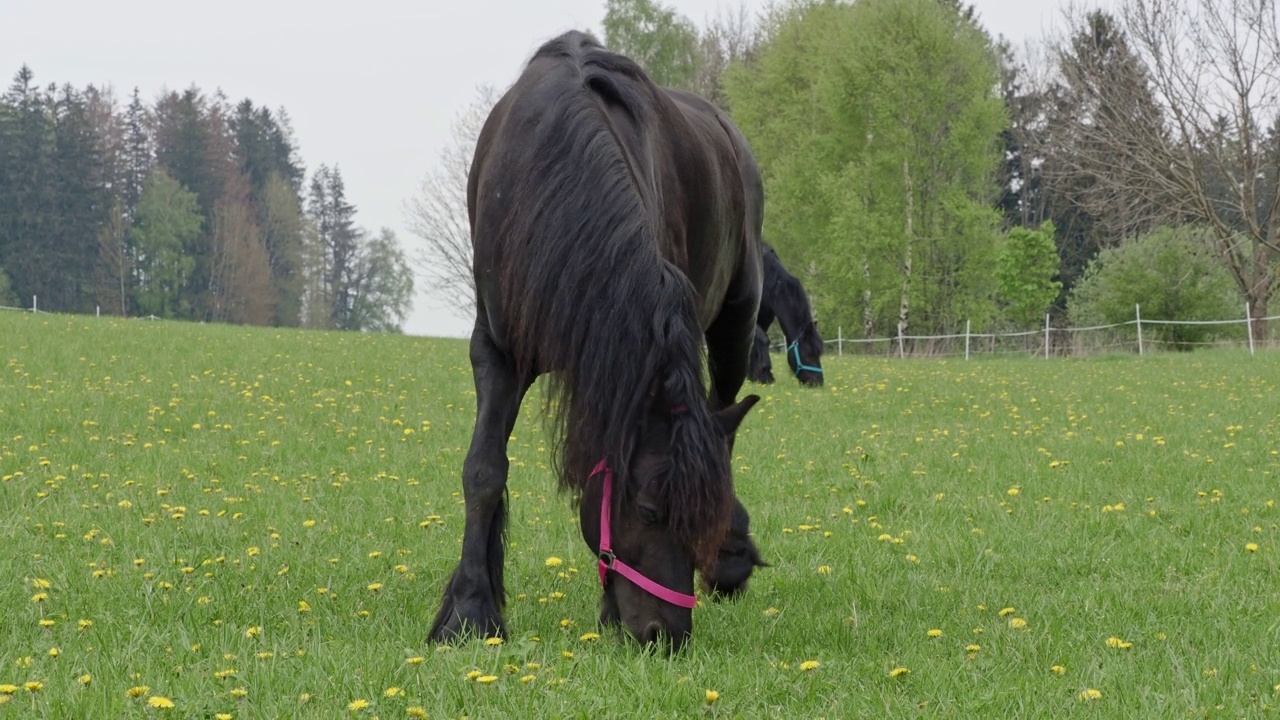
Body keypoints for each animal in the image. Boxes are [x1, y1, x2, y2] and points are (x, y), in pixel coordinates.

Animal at [430, 30, 768, 648]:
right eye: (650, 509)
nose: (666, 635)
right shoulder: (497, 351)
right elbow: (484, 470)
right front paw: (470, 612)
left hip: (736, 321)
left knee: (723, 422)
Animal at [747, 242, 824, 386]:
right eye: (809, 353)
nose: (817, 382)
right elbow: (763, 339)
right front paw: (766, 375)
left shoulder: (764, 318)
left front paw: (754, 377)